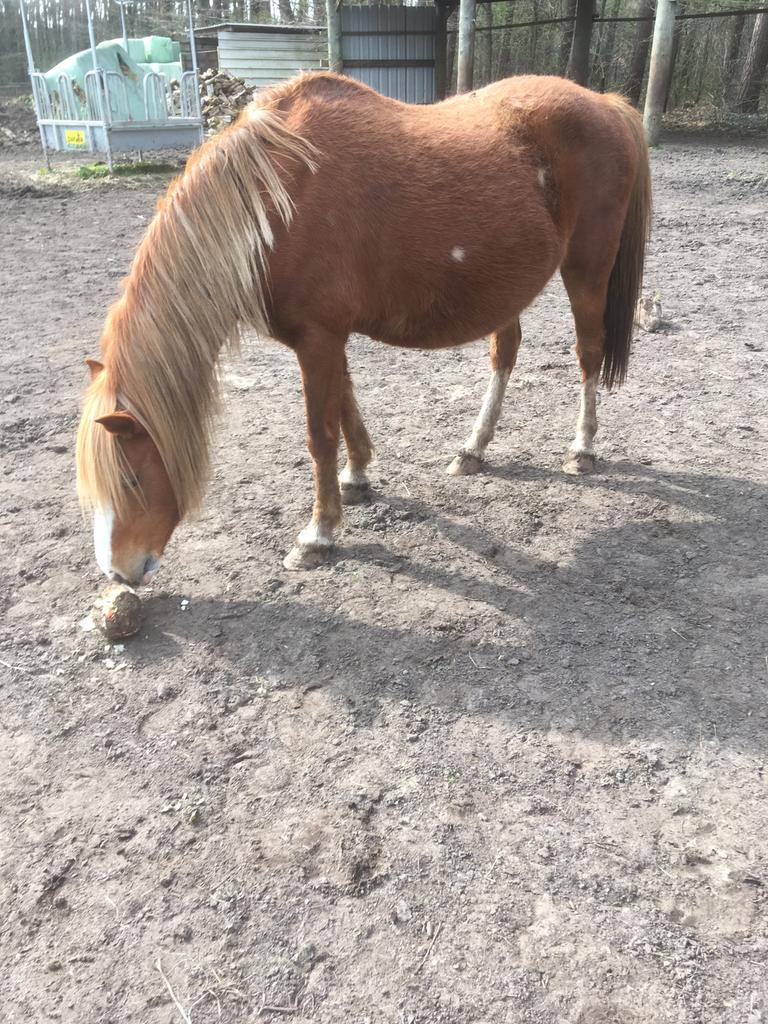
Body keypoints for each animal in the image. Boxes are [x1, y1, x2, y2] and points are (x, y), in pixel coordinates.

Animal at [76, 71, 651, 585]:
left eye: (130, 477)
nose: (119, 573)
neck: (275, 197)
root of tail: (604, 103)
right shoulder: (326, 338)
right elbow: (346, 405)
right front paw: (356, 479)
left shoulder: (318, 338)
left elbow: (320, 433)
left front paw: (318, 534)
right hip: (508, 286)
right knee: (505, 353)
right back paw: (474, 448)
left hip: (587, 270)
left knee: (588, 352)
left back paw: (581, 449)